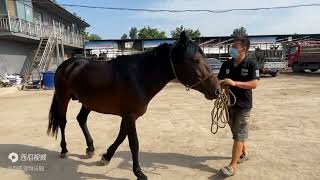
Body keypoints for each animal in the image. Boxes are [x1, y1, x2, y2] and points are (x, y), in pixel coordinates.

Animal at [47, 31, 220, 179]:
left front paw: (106, 157)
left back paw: (90, 148)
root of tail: (66, 64)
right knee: (63, 122)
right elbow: (134, 143)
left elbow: (121, 136)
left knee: (81, 119)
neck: (139, 76)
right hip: (63, 97)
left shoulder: (128, 116)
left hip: (87, 102)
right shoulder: (130, 116)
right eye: (195, 60)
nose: (217, 90)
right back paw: (64, 150)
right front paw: (139, 173)